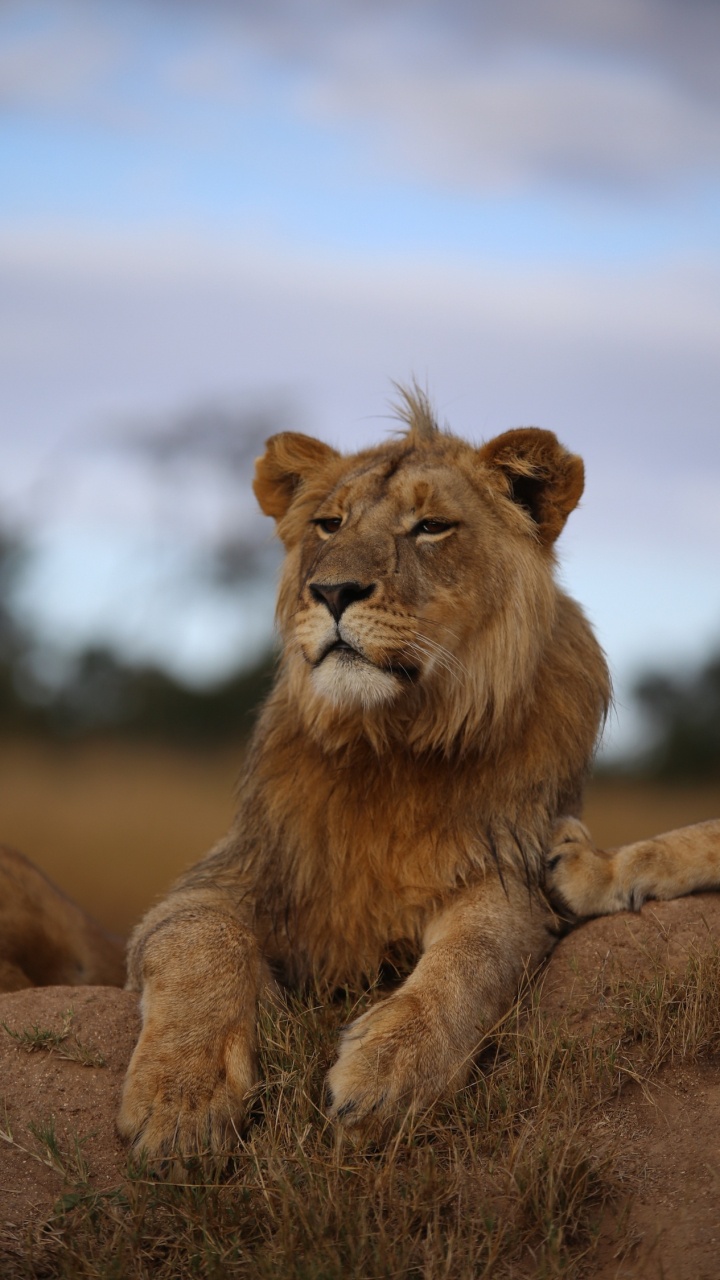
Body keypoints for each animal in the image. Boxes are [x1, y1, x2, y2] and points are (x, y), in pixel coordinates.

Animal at [2, 389, 719, 1162]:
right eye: (330, 523)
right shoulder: (227, 877)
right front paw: (181, 1099)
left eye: (431, 527)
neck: (391, 745)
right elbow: (200, 938)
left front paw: (391, 1070)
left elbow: (474, 953)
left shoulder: (508, 871)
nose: (333, 590)